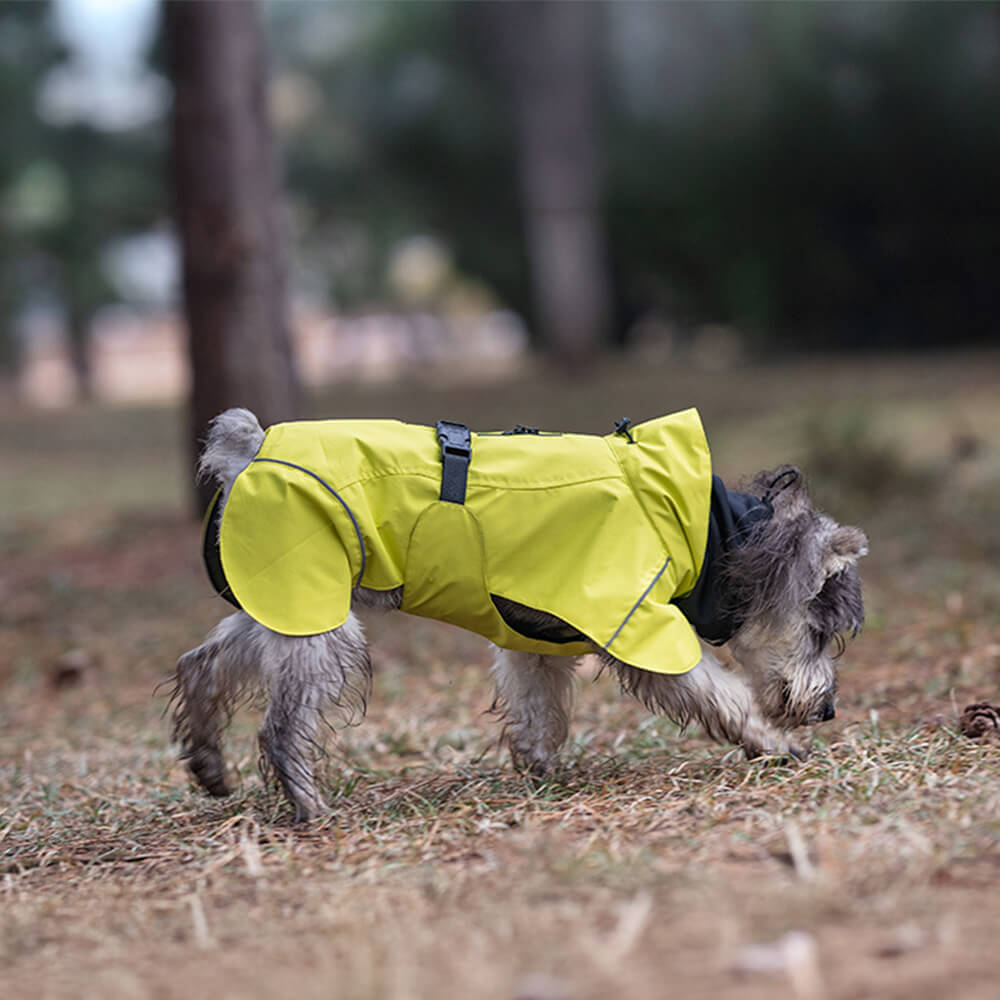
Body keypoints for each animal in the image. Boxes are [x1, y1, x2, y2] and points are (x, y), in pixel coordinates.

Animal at [170, 406, 868, 820]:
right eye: (819, 633)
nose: (829, 709)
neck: (701, 530)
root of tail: (248, 448)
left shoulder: (537, 632)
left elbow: (538, 703)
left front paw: (538, 766)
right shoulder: (638, 625)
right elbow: (718, 694)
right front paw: (773, 742)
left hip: (281, 603)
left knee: (203, 666)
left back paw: (208, 763)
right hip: (319, 622)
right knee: (280, 724)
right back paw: (311, 806)